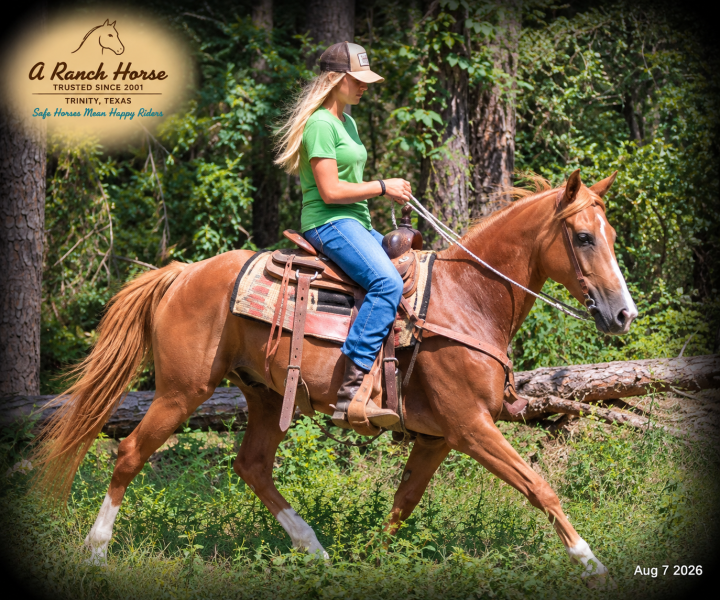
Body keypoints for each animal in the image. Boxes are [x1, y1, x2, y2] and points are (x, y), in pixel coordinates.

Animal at [32, 169, 637, 586]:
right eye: (584, 237)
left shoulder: (438, 438)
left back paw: (315, 551)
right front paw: (592, 564)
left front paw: (372, 565)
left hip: (265, 395)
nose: (623, 314)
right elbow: (540, 487)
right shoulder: (471, 428)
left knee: (251, 466)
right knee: (130, 452)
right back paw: (96, 552)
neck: (466, 299)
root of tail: (182, 274)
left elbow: (402, 504)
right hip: (183, 392)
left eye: (610, 234)